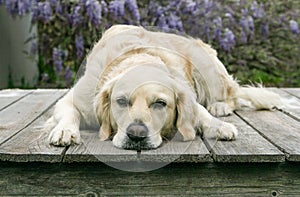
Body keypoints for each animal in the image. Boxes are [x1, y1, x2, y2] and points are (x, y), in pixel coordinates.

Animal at [45, 24, 282, 149]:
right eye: (120, 102)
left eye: (160, 103)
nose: (136, 134)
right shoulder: (73, 99)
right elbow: (69, 113)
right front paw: (65, 130)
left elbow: (200, 112)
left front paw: (219, 126)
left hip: (206, 67)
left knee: (231, 94)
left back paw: (220, 106)